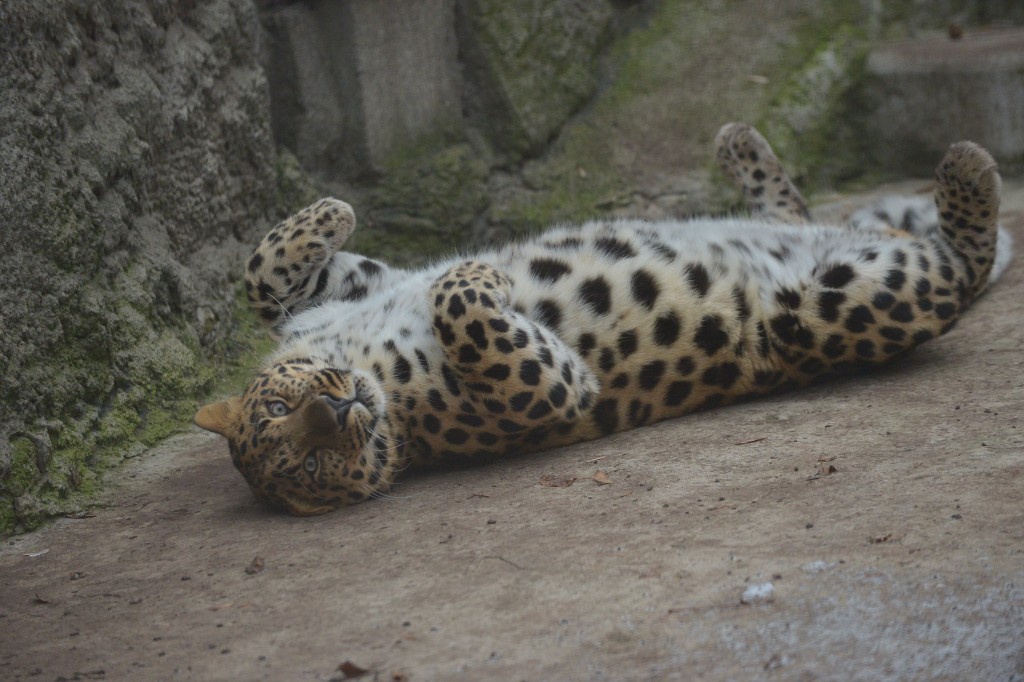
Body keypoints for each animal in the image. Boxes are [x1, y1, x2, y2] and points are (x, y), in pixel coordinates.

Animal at [195, 123, 1011, 516]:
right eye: (308, 466)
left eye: (281, 406)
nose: (336, 411)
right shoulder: (546, 387)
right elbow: (460, 306)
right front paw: (481, 272)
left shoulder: (348, 290)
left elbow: (261, 274)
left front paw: (330, 211)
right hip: (829, 306)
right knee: (960, 267)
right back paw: (967, 172)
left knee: (802, 212)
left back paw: (741, 144)